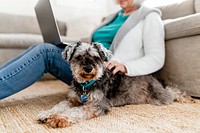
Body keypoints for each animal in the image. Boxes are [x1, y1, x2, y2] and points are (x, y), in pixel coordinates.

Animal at [36, 41, 192, 128]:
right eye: (78, 57)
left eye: (96, 57)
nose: (88, 68)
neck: (86, 85)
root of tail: (153, 77)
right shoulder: (72, 99)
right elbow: (59, 106)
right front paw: (46, 113)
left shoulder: (96, 105)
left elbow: (75, 111)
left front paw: (59, 118)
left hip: (159, 97)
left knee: (172, 91)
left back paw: (187, 98)